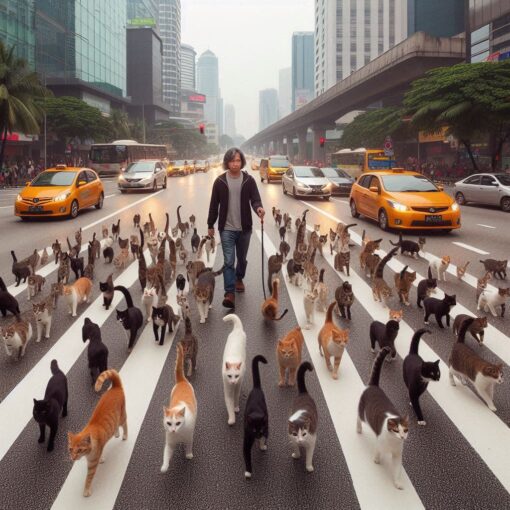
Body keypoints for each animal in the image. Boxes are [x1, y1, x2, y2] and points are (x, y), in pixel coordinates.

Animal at [67, 368, 127, 496]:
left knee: (125, 425)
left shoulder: (92, 464)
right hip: (115, 420)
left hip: (122, 417)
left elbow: (88, 478)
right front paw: (102, 458)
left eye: (79, 450)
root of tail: (115, 386)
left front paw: (86, 490)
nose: (73, 458)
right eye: (70, 449)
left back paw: (124, 435)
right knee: (116, 426)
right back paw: (116, 433)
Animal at [161, 340, 197, 472]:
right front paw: (164, 467)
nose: (173, 430)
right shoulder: (169, 443)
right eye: (169, 423)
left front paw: (188, 455)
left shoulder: (189, 437)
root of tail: (181, 381)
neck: (178, 435)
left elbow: (189, 446)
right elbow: (166, 454)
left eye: (178, 423)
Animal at [358, 346, 410, 490]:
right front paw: (376, 460)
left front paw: (397, 483)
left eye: (405, 430)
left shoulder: (398, 454)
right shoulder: (380, 442)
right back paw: (358, 429)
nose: (402, 437)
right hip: (362, 412)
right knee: (358, 418)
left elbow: (397, 470)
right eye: (396, 430)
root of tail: (374, 386)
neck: (393, 441)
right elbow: (377, 451)